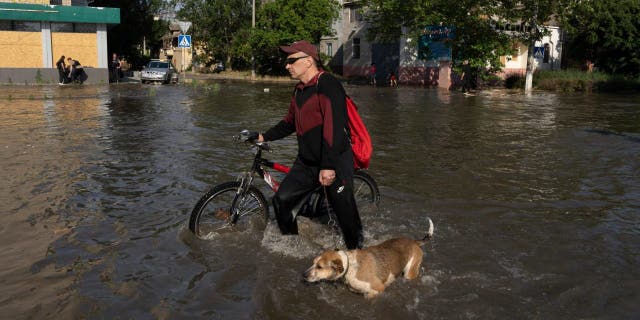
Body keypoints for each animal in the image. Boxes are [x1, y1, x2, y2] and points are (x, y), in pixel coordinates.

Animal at [304, 218, 436, 298]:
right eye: (313, 262)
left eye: (319, 267)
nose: (303, 275)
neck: (350, 266)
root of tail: (414, 242)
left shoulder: (378, 289)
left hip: (410, 272)